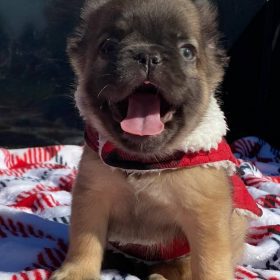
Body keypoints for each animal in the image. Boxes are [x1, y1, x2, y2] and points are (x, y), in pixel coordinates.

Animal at [50, 0, 262, 280]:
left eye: (187, 52)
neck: (144, 163)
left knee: (181, 266)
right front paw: (78, 272)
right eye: (108, 46)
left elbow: (208, 262)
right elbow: (85, 242)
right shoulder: (92, 199)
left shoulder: (206, 216)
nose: (148, 56)